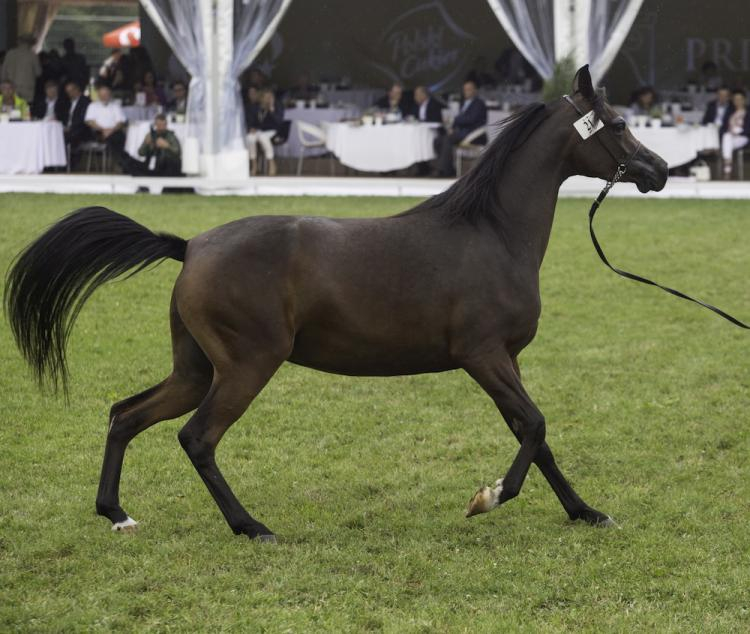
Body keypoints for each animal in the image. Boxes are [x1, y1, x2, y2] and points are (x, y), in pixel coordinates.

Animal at [2, 66, 668, 540]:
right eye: (616, 124)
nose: (660, 170)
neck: (491, 233)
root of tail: (190, 246)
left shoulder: (509, 359)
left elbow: (536, 433)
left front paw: (586, 512)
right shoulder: (483, 357)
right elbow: (534, 425)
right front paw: (486, 499)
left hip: (195, 369)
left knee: (126, 414)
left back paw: (117, 514)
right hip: (246, 366)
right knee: (197, 438)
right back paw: (252, 527)